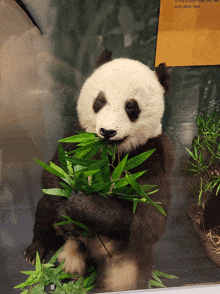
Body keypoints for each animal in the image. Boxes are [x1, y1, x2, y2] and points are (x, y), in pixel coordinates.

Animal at [24, 50, 174, 292]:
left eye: (131, 106)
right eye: (100, 101)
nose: (107, 131)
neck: (110, 152)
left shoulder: (152, 155)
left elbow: (148, 218)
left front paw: (83, 205)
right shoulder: (76, 138)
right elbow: (53, 174)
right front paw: (68, 205)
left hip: (124, 258)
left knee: (123, 279)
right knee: (46, 210)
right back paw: (37, 253)